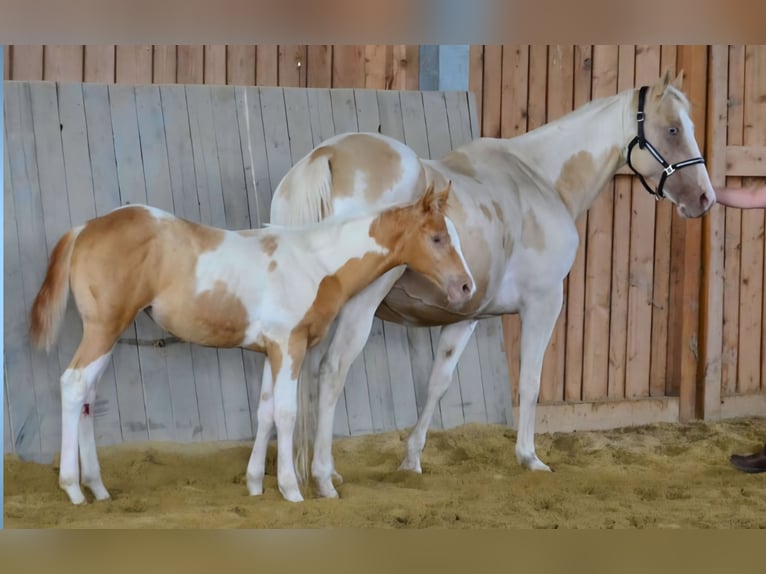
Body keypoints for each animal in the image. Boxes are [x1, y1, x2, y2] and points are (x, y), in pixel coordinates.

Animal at [29, 182, 475, 505]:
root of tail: (85, 228)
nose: (466, 287)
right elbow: (287, 414)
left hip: (107, 333)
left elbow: (264, 413)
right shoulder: (290, 346)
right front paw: (292, 490)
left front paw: (256, 484)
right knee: (73, 385)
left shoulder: (270, 351)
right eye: (437, 238)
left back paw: (98, 488)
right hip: (104, 328)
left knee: (88, 396)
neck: (315, 263)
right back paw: (73, 489)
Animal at [269, 70, 716, 499]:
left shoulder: (466, 315)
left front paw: (411, 461)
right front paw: (530, 457)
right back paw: (322, 478)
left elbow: (438, 383)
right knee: (331, 371)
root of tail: (326, 156)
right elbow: (530, 381)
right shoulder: (544, 303)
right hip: (359, 303)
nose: (704, 198)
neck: (541, 180)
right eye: (673, 129)